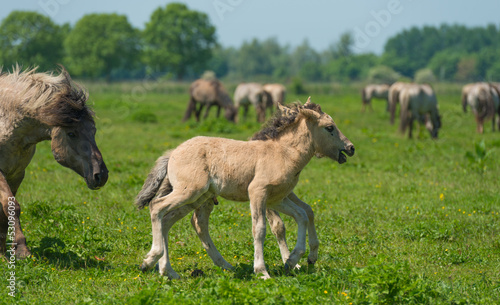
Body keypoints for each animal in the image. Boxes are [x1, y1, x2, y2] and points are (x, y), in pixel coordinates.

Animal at [0, 66, 108, 256]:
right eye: (71, 133)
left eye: (93, 131)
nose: (101, 175)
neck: (6, 120)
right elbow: (11, 205)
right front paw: (21, 249)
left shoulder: (16, 174)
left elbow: (6, 209)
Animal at [137, 97, 356, 278]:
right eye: (330, 127)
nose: (351, 147)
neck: (282, 153)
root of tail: (173, 152)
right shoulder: (258, 192)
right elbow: (260, 229)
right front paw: (262, 271)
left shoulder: (277, 198)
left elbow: (302, 215)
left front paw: (294, 260)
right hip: (189, 191)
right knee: (157, 207)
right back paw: (150, 260)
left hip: (197, 197)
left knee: (171, 220)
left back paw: (169, 271)